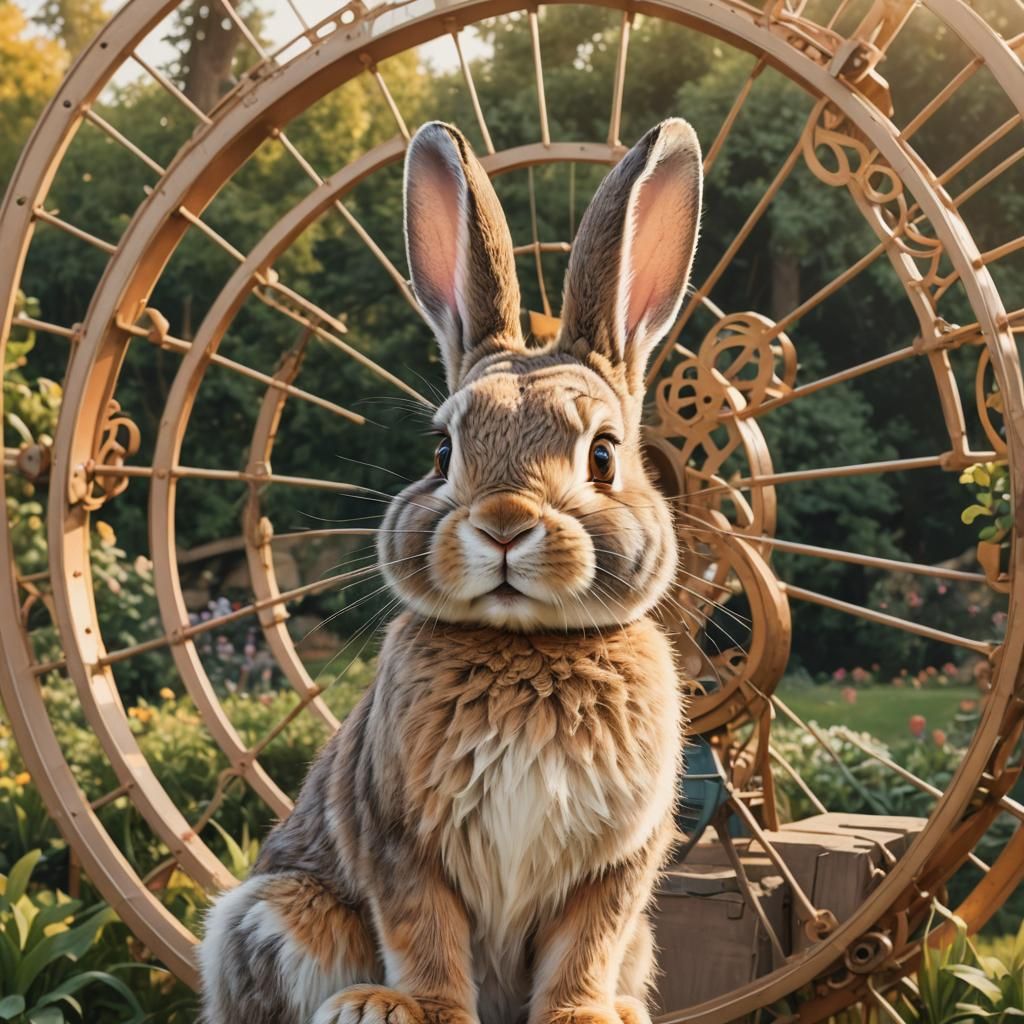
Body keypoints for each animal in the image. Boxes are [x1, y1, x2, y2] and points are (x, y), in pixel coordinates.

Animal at [199, 116, 702, 1024]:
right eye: (442, 452)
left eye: (603, 455)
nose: (503, 525)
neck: (525, 645)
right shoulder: (403, 842)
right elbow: (424, 931)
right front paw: (411, 1010)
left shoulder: (615, 867)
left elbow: (586, 946)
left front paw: (583, 1016)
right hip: (280, 915)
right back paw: (360, 1002)